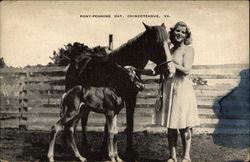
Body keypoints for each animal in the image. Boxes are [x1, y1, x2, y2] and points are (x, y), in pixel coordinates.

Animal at [65, 22, 174, 159]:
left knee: (83, 119)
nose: (170, 70)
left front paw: (129, 151)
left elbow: (129, 124)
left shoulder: (131, 98)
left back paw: (86, 145)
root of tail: (75, 62)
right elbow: (109, 126)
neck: (122, 68)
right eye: (157, 43)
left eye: (169, 43)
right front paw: (106, 151)